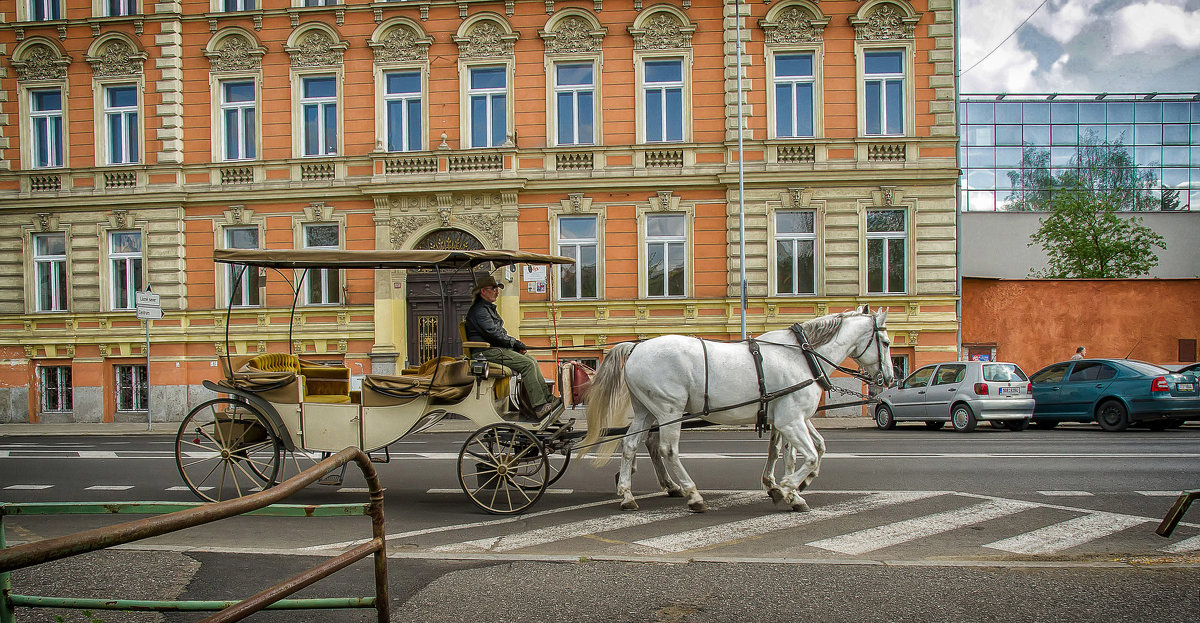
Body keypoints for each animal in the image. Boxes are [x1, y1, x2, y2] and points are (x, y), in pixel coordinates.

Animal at [580, 304, 892, 513]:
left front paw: (787, 487)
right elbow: (810, 455)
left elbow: (803, 450)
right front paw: (788, 489)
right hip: (669, 410)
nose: (889, 378)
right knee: (667, 449)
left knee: (631, 445)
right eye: (886, 342)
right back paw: (692, 495)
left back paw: (628, 495)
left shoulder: (790, 417)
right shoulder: (790, 420)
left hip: (646, 410)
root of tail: (636, 347)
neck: (801, 356)